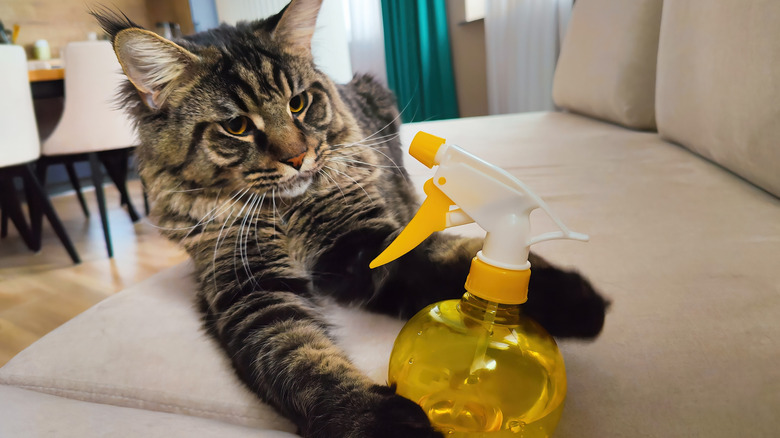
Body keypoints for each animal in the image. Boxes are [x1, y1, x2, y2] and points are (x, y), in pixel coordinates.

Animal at [94, 1, 608, 436]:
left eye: (298, 103)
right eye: (236, 127)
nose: (298, 158)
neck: (286, 212)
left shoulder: (361, 244)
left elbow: (450, 262)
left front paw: (568, 300)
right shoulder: (253, 292)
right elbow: (304, 363)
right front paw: (385, 422)